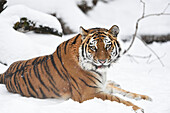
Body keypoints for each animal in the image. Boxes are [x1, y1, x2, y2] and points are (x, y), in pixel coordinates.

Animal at [0, 25, 151, 112]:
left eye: (107, 46)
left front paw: (145, 97)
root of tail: (5, 72)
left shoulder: (100, 86)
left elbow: (125, 92)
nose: (102, 61)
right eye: (93, 47)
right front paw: (139, 109)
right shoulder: (89, 93)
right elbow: (118, 99)